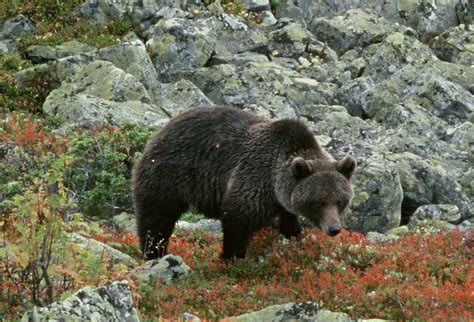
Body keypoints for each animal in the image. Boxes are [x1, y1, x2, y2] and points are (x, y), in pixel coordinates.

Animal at [132, 107, 356, 260]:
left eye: (340, 201)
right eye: (319, 202)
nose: (334, 228)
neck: (275, 183)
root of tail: (160, 131)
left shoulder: (283, 201)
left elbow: (288, 223)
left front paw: (296, 238)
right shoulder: (255, 177)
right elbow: (238, 218)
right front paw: (231, 257)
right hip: (168, 175)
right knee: (157, 219)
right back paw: (153, 253)